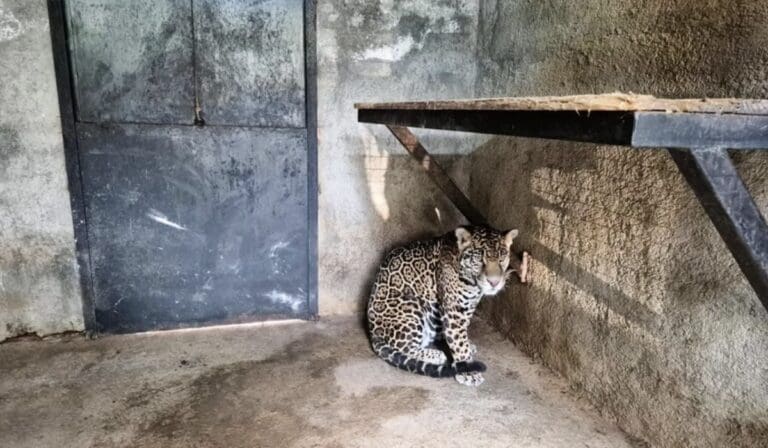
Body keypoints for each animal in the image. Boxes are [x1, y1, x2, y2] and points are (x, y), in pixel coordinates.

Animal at [367, 224, 519, 386]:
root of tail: (373, 332)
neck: (473, 283)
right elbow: (458, 341)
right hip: (411, 304)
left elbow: (460, 335)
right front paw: (469, 371)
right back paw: (436, 354)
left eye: (502, 258)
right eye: (479, 259)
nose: (494, 282)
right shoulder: (455, 312)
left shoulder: (468, 307)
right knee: (405, 347)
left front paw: (466, 348)